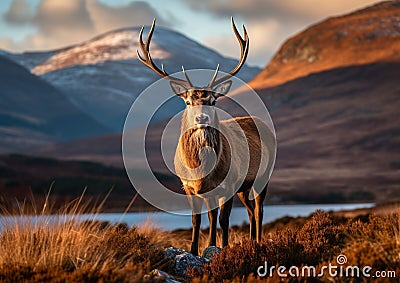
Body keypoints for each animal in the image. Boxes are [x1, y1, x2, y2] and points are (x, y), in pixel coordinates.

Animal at [137, 18, 276, 258]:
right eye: (187, 102)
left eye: (213, 100)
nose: (202, 117)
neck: (202, 171)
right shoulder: (189, 187)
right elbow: (198, 220)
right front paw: (196, 251)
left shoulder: (229, 184)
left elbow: (223, 220)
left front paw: (223, 248)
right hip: (244, 187)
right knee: (250, 210)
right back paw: (250, 242)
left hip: (263, 175)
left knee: (259, 209)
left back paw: (258, 242)